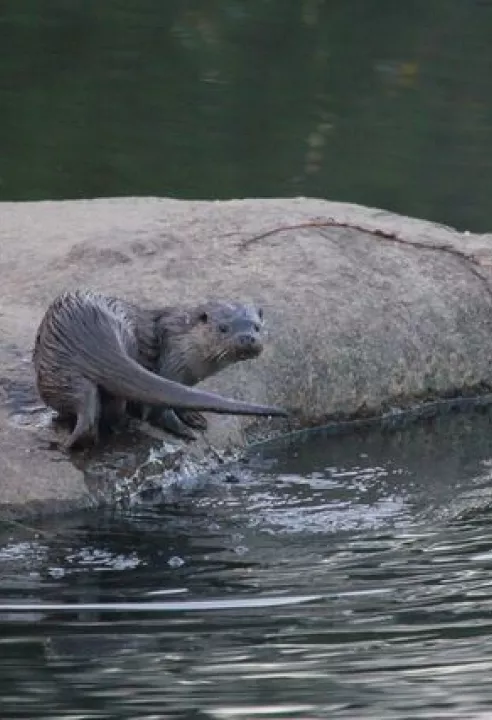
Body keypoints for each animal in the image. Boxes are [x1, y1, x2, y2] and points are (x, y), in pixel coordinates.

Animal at [33, 290, 286, 449]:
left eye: (256, 326)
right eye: (223, 328)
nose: (247, 338)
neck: (184, 344)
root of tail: (89, 337)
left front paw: (194, 417)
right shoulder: (172, 362)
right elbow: (160, 409)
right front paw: (187, 428)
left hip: (58, 371)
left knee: (88, 403)